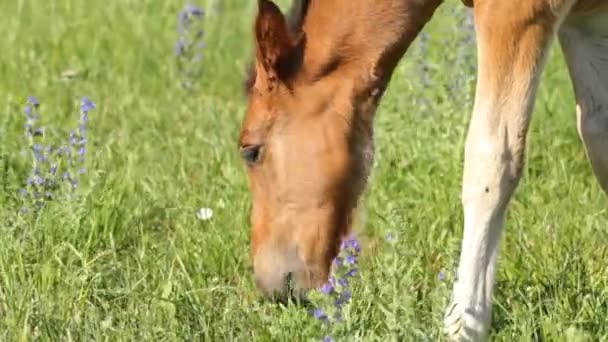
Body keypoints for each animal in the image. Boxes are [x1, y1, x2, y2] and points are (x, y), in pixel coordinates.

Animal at [238, 0, 608, 340]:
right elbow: (598, 138)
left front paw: (464, 323)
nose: (272, 288)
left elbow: (491, 161)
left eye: (251, 151)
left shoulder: (516, 14)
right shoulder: (585, 19)